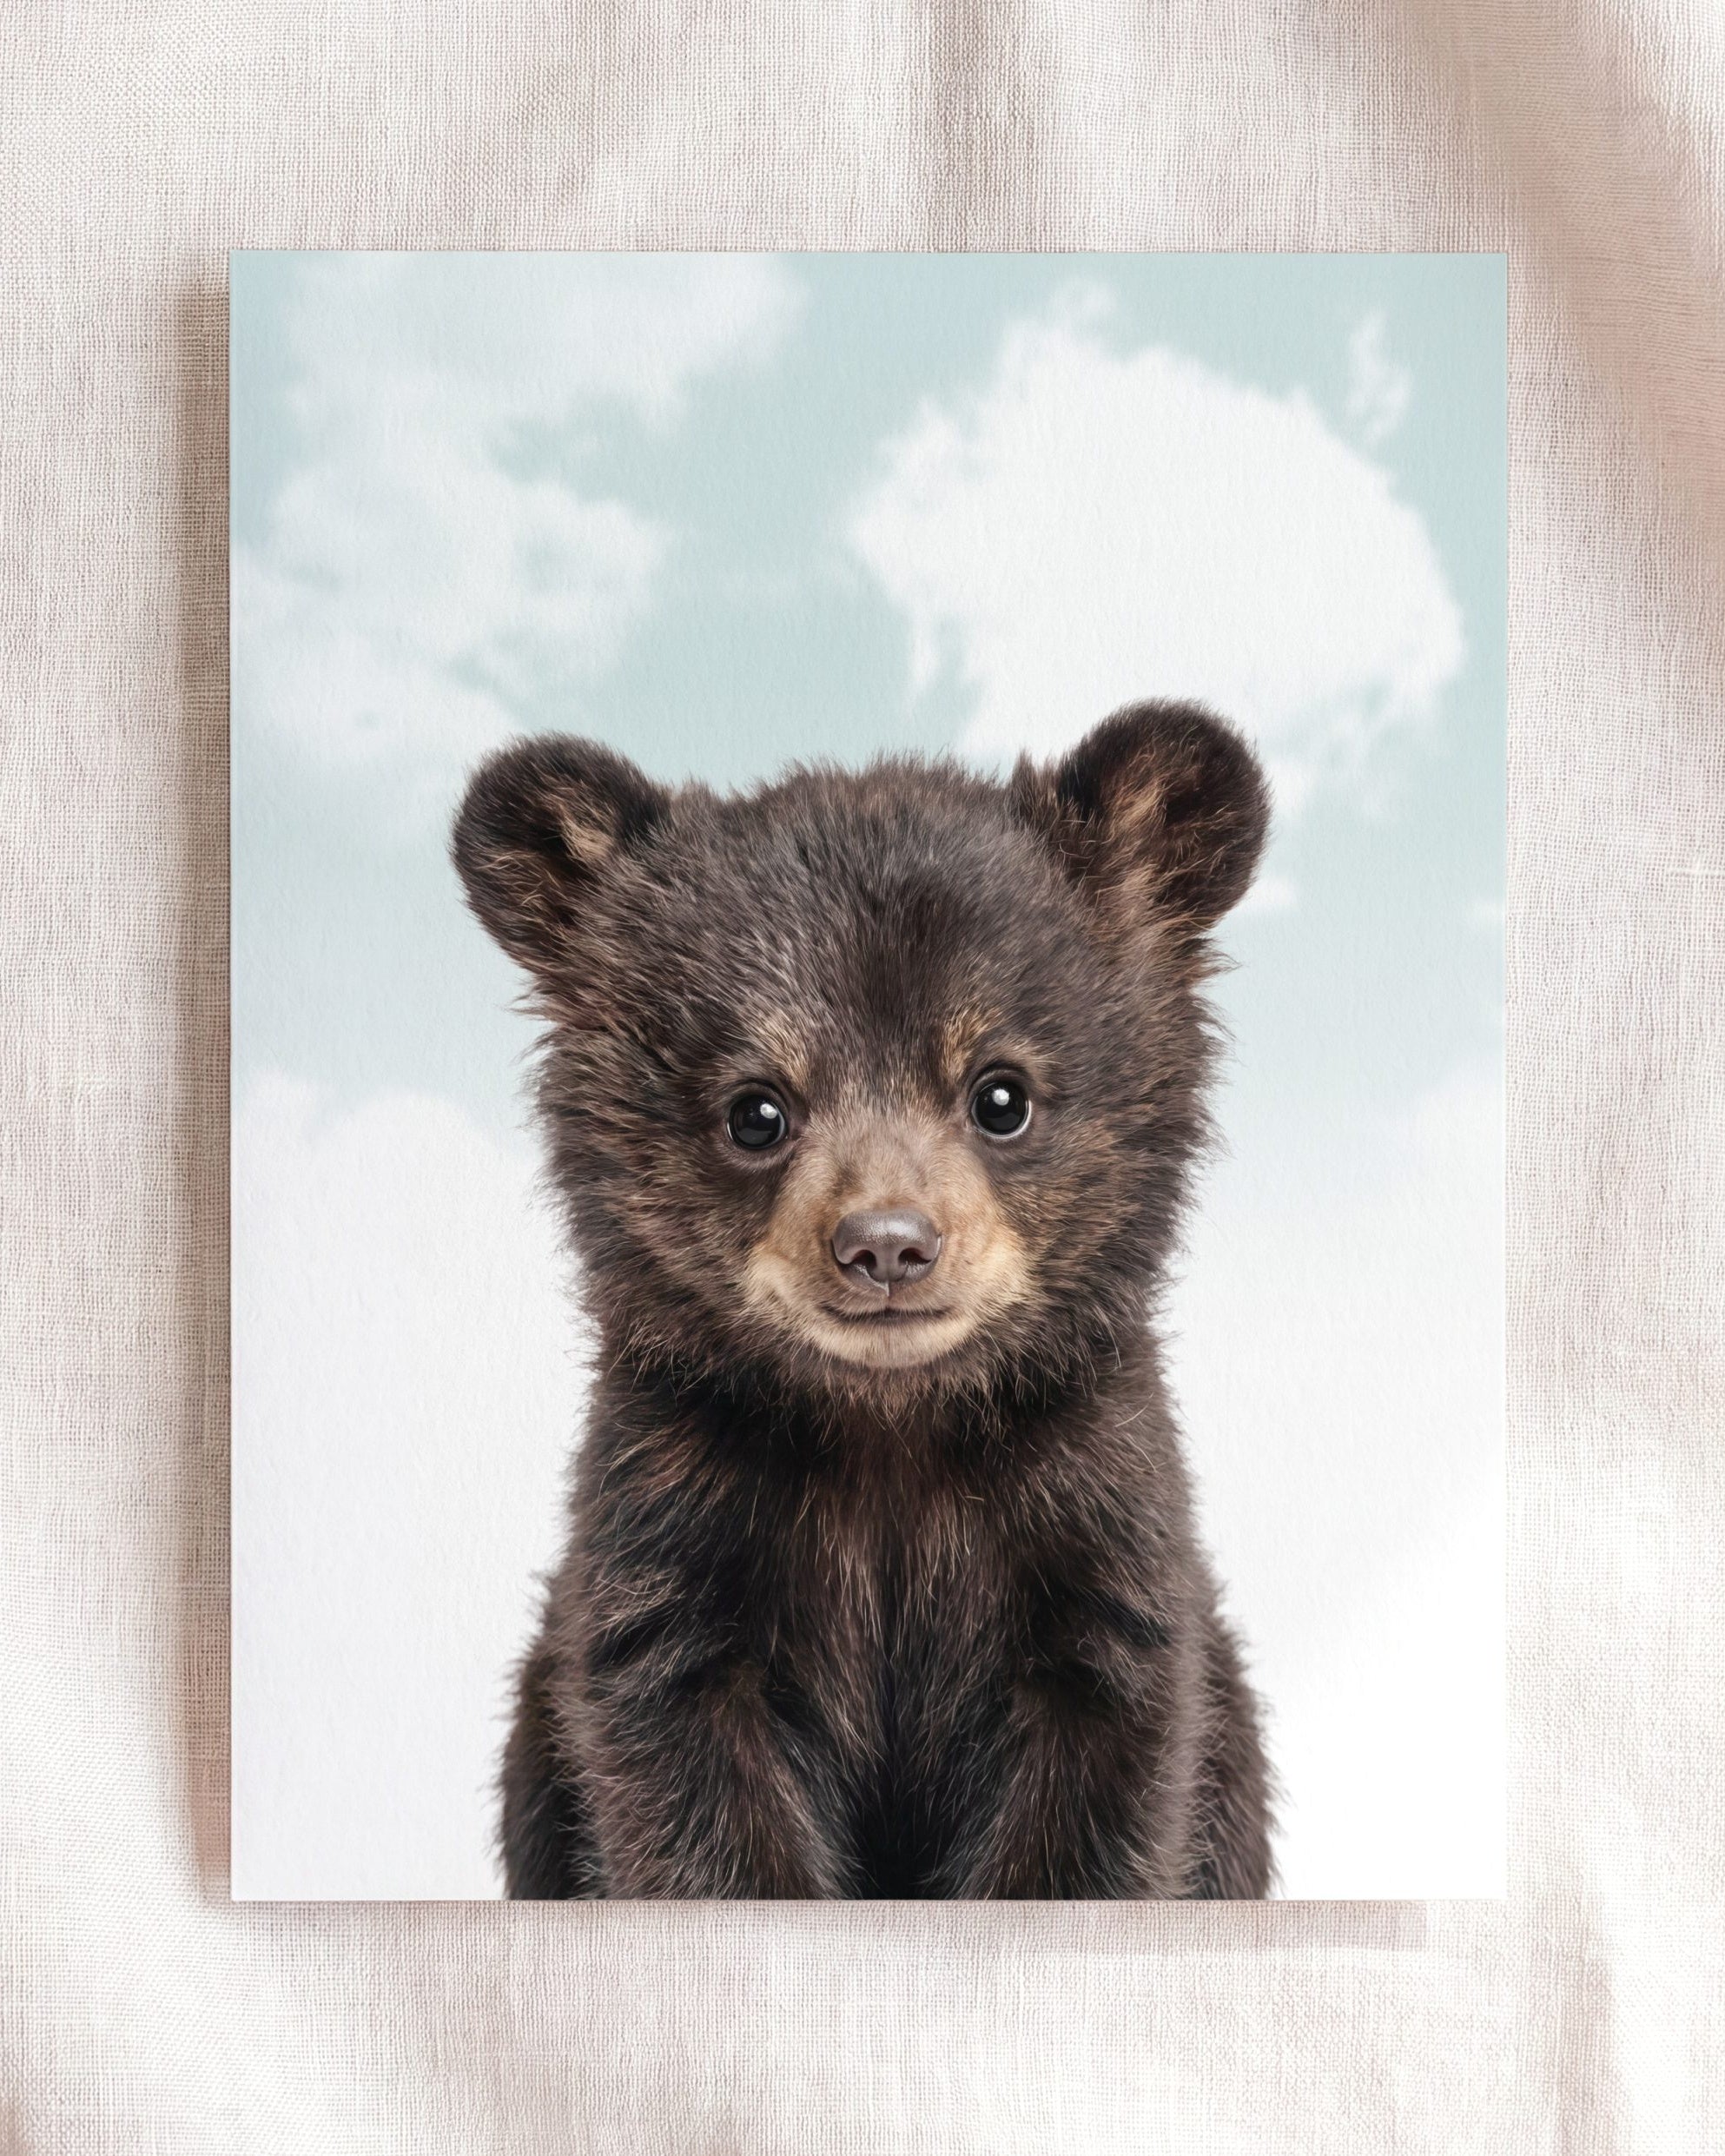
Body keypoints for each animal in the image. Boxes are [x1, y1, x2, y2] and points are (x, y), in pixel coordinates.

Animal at [452, 699, 1276, 1899]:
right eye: (756, 1109)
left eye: (1001, 1094)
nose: (887, 1246)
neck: (890, 1432)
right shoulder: (674, 1534)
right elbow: (692, 1797)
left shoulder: (1092, 1532)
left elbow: (1098, 1798)